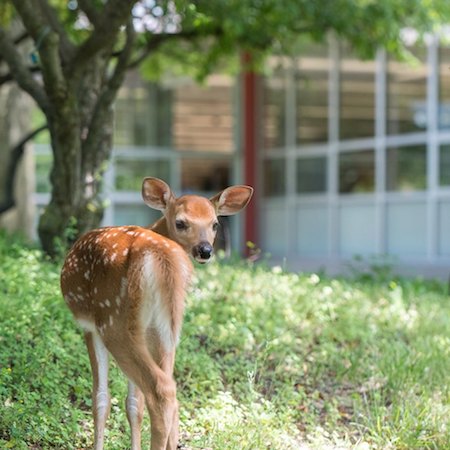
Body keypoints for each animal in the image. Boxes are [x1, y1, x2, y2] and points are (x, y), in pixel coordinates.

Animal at [60, 177, 253, 450]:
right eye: (181, 222)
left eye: (214, 224)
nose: (205, 250)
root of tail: (160, 257)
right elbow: (133, 404)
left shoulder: (89, 326)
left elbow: (101, 399)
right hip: (167, 325)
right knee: (169, 389)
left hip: (113, 321)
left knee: (161, 389)